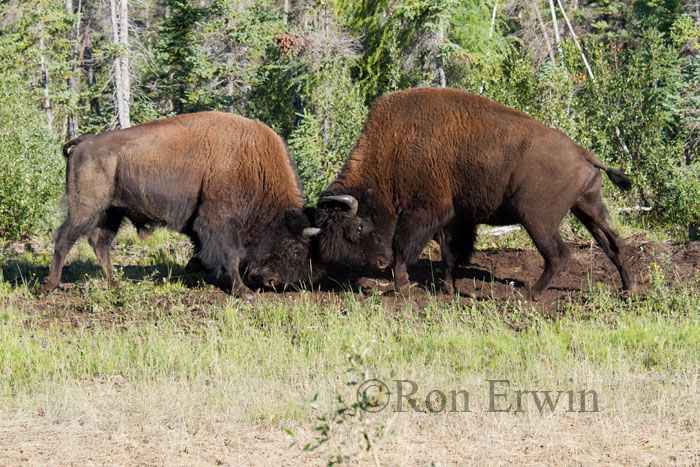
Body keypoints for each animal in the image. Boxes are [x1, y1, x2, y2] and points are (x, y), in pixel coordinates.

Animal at [41, 111, 320, 298]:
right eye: (296, 249)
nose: (274, 282)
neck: (253, 162)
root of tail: (84, 142)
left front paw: (196, 268)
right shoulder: (218, 221)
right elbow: (229, 255)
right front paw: (243, 291)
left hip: (111, 212)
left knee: (100, 243)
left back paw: (115, 284)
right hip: (85, 208)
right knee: (64, 239)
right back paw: (51, 284)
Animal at [312, 88, 636, 298]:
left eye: (357, 227)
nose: (378, 263)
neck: (395, 147)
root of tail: (584, 154)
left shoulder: (425, 213)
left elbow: (406, 248)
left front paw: (403, 286)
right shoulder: (454, 219)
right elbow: (449, 254)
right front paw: (447, 289)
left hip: (538, 220)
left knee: (558, 254)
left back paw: (529, 296)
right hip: (587, 207)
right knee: (614, 243)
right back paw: (628, 289)